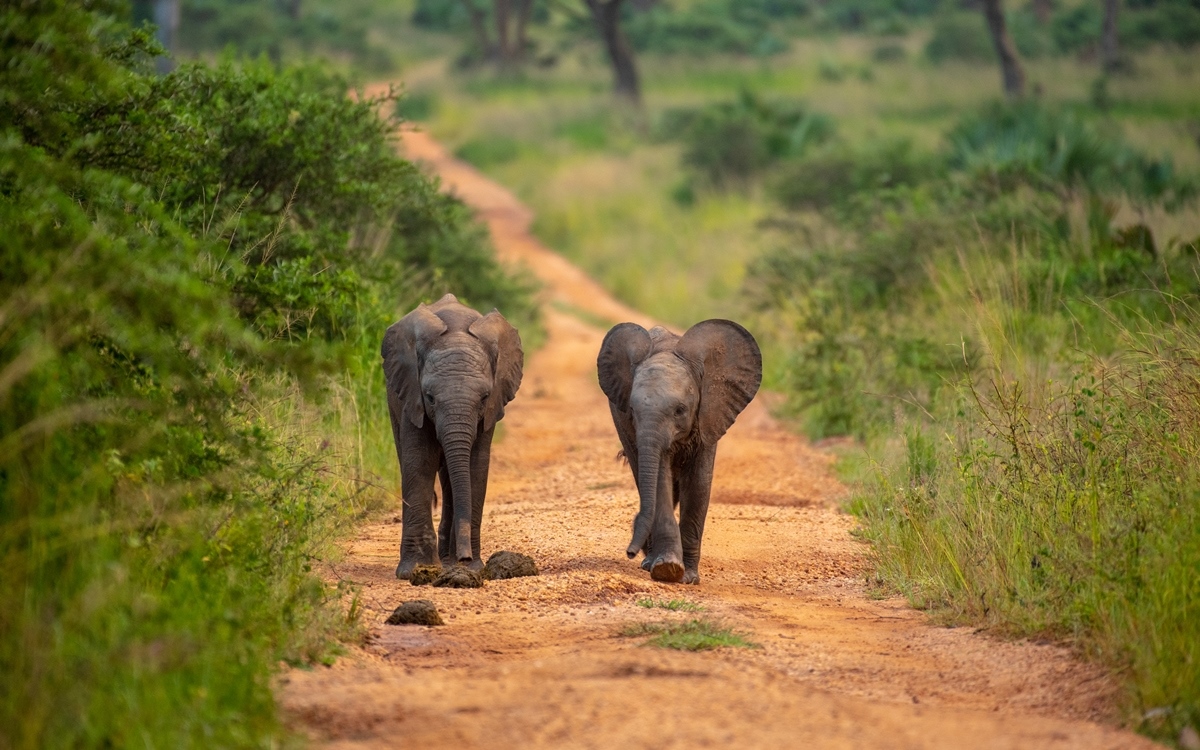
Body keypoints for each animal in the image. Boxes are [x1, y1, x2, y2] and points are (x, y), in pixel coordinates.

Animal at [379, 292, 520, 578]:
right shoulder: (413, 396)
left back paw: (448, 560)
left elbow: (476, 465)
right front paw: (415, 570)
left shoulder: (490, 410)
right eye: (430, 397)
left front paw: (471, 567)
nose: (466, 558)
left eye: (484, 397)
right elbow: (420, 460)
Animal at [597, 319, 758, 583]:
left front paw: (688, 577)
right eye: (632, 410)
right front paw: (667, 568)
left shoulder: (710, 414)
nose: (630, 552)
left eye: (680, 410)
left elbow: (699, 483)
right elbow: (659, 481)